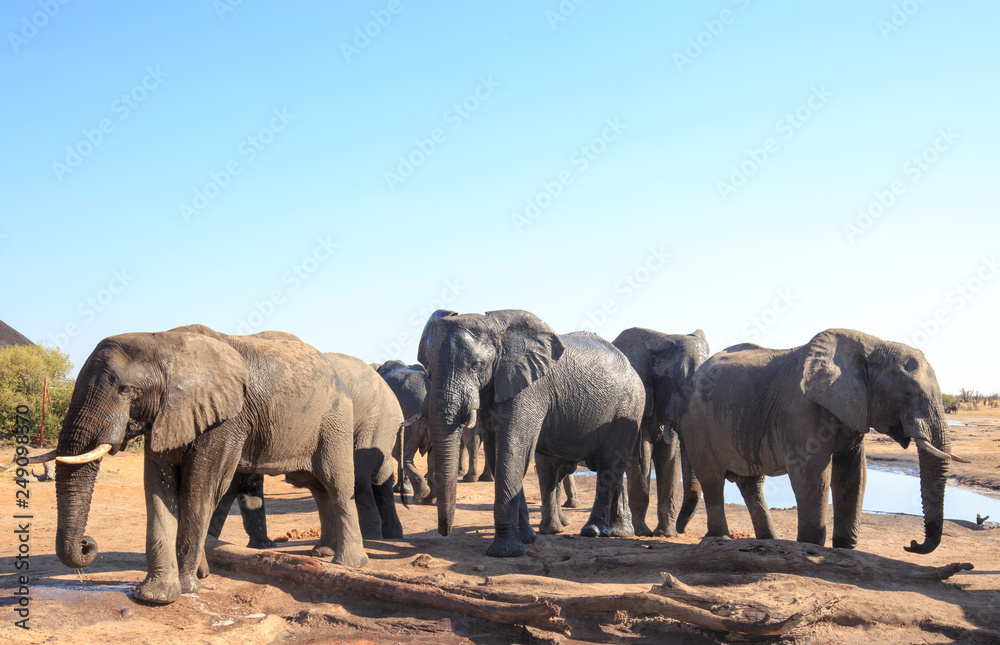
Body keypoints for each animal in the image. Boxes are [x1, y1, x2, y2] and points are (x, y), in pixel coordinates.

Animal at [48, 324, 368, 605]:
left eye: (125, 389)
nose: (87, 544)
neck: (162, 341)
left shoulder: (226, 419)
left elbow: (199, 488)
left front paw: (187, 587)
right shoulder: (167, 415)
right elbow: (158, 490)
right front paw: (155, 595)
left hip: (334, 419)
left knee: (336, 485)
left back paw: (349, 563)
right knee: (317, 487)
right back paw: (322, 552)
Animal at [418, 309, 644, 557]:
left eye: (476, 365)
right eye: (427, 367)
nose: (445, 532)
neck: (496, 327)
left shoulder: (530, 389)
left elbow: (513, 449)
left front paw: (504, 552)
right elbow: (496, 452)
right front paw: (526, 539)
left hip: (629, 408)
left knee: (609, 465)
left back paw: (593, 531)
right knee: (609, 467)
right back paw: (619, 532)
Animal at [612, 328, 709, 537]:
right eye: (674, 379)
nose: (682, 531)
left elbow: (670, 460)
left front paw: (666, 534)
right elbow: (641, 462)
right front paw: (642, 532)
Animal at [677, 328, 968, 553]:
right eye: (907, 392)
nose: (912, 544)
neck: (872, 345)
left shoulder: (853, 410)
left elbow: (854, 475)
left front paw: (844, 549)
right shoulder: (800, 410)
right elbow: (812, 475)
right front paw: (810, 547)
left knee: (751, 482)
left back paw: (769, 541)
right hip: (697, 424)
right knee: (713, 479)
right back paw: (721, 539)